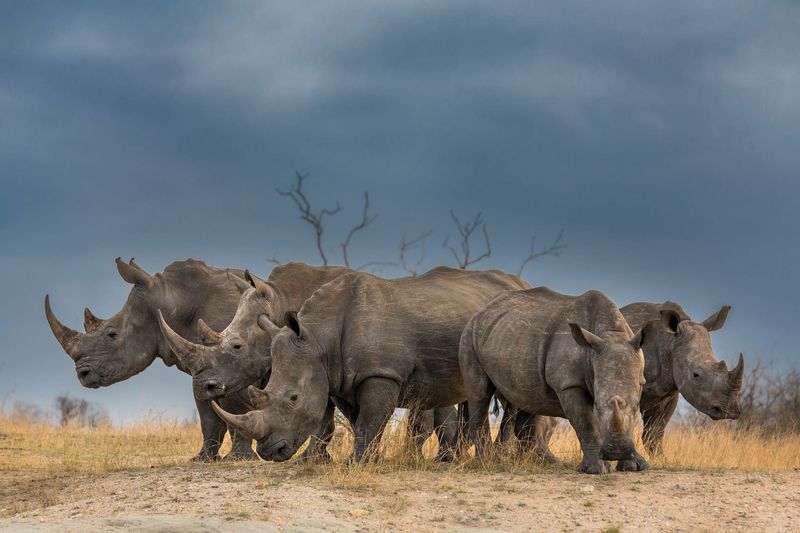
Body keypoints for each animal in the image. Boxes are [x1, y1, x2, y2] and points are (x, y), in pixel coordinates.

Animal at [45, 257, 262, 461]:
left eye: (112, 335)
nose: (83, 374)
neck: (171, 302)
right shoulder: (204, 370)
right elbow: (207, 413)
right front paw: (203, 459)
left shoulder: (234, 361)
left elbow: (234, 408)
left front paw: (239, 458)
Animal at [211, 267, 530, 462]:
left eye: (294, 398)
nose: (269, 452)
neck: (318, 339)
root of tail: (519, 282)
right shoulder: (339, 378)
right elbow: (360, 421)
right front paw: (369, 459)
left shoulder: (381, 373)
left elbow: (370, 419)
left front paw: (357, 462)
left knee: (508, 397)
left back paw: (501, 456)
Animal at [460, 287, 648, 474]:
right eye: (597, 406)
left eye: (637, 406)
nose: (616, 451)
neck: (612, 335)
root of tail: (481, 311)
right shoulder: (569, 384)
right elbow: (586, 422)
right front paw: (597, 469)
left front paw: (635, 466)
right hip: (469, 337)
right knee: (480, 395)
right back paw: (487, 462)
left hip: (510, 340)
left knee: (528, 399)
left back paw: (541, 462)